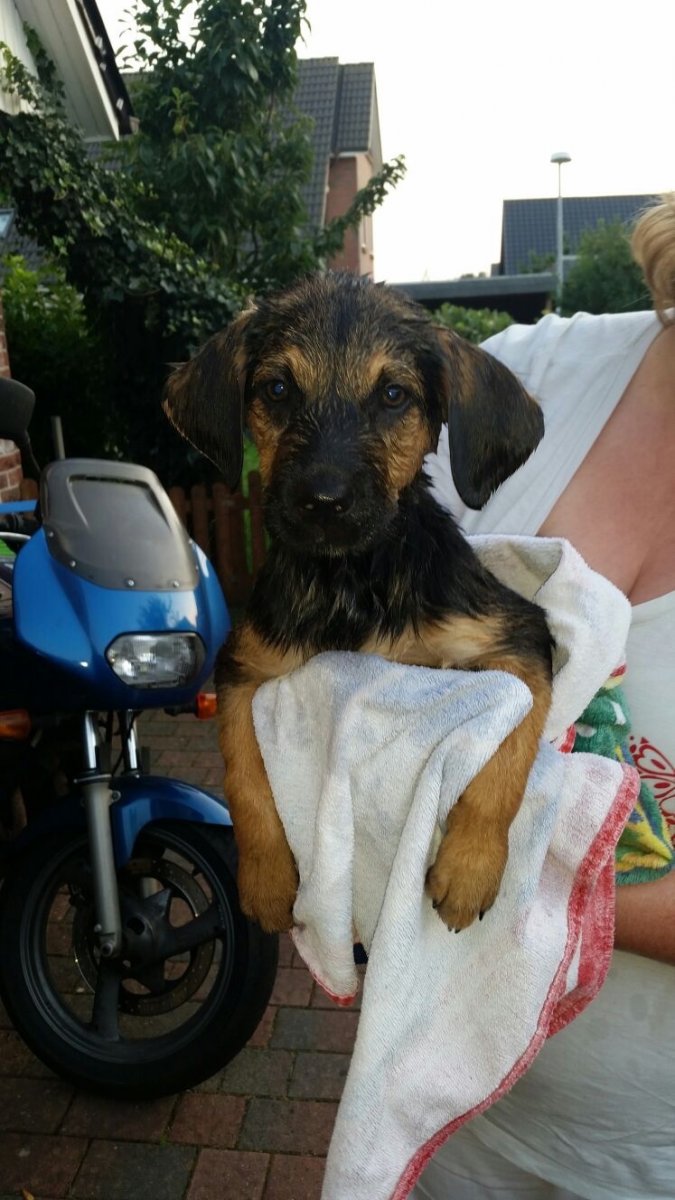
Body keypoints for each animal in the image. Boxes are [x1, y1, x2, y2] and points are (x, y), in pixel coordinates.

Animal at [164, 272, 553, 934]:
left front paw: (471, 864)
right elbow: (243, 769)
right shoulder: (242, 665)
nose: (323, 499)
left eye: (393, 395)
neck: (350, 581)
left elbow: (510, 745)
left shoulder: (520, 636)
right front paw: (264, 879)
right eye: (277, 389)